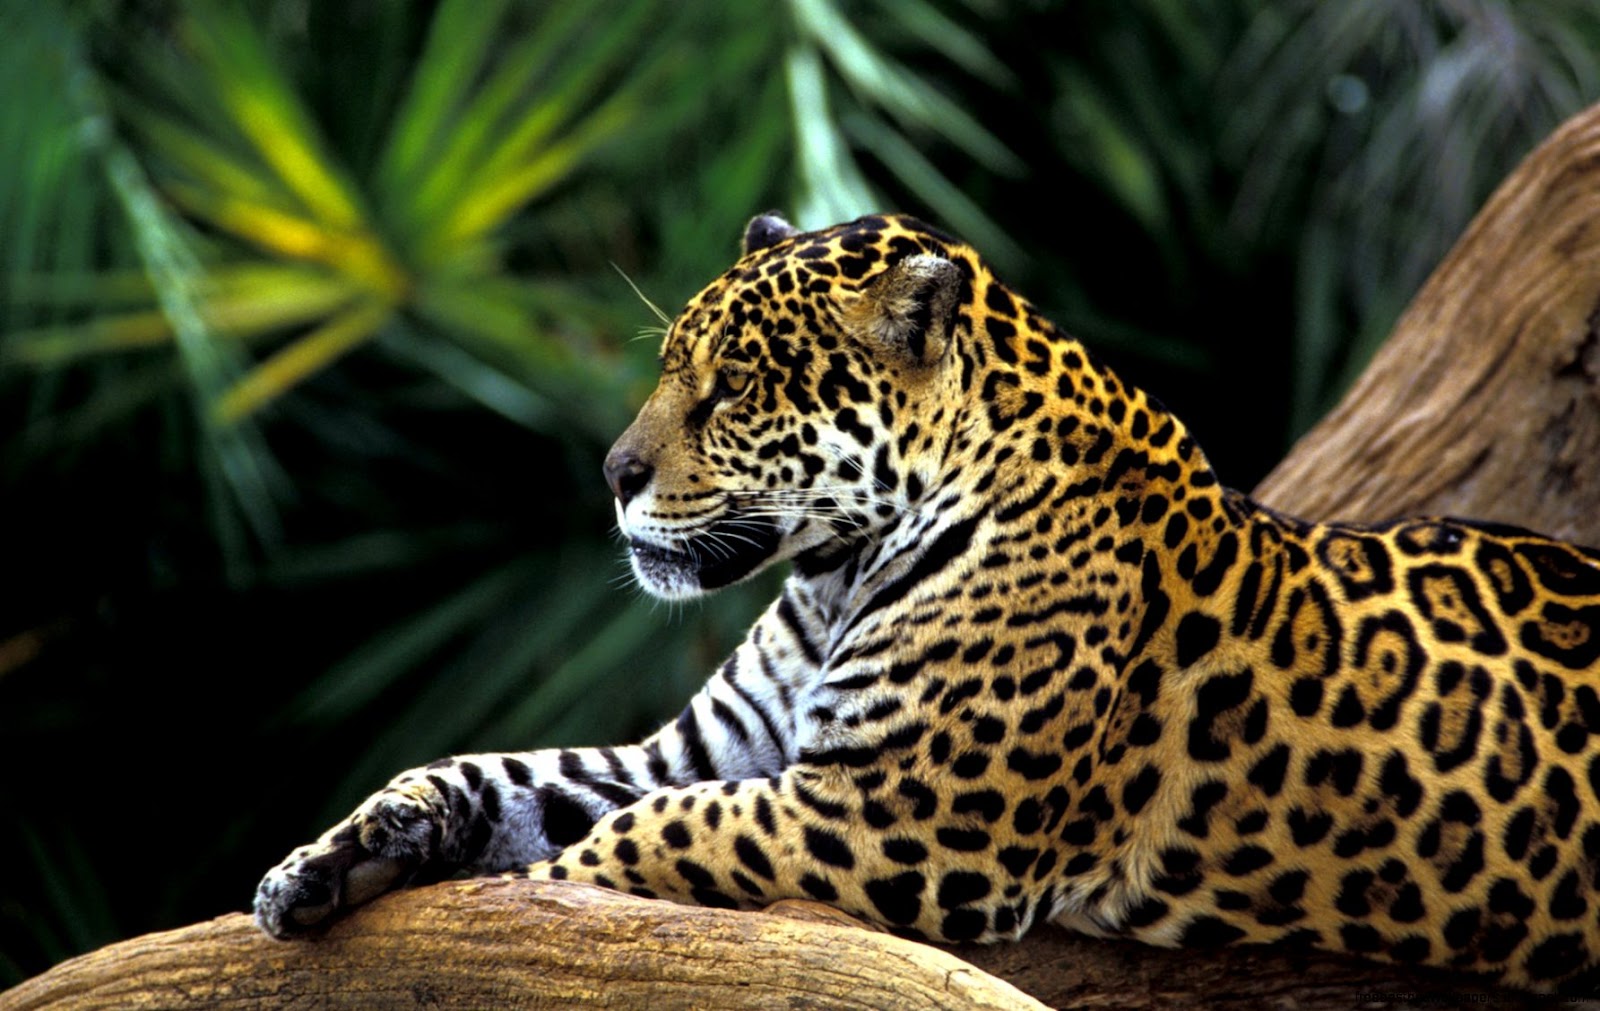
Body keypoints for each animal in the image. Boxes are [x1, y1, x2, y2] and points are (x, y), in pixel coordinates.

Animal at [255, 212, 1600, 993]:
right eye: (667, 367)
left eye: (731, 387)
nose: (612, 473)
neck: (833, 569)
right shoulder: (703, 751)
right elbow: (497, 775)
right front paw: (327, 863)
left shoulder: (903, 817)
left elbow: (646, 838)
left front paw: (545, 894)